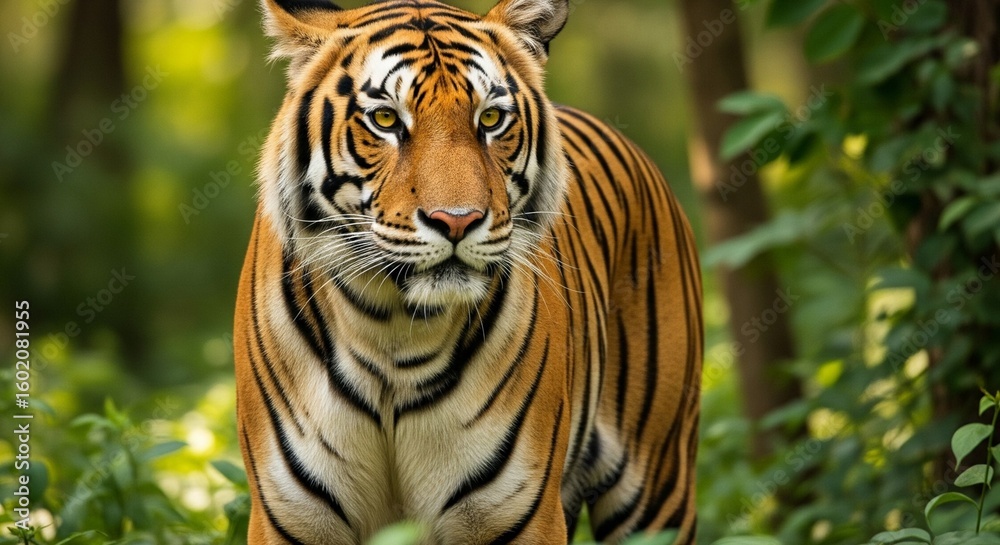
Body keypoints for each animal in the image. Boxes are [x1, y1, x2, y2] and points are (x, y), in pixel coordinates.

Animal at [233, 0, 702, 543]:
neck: (392, 331)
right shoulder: (290, 518)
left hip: (658, 486)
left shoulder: (518, 516)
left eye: (491, 119)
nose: (456, 220)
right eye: (386, 119)